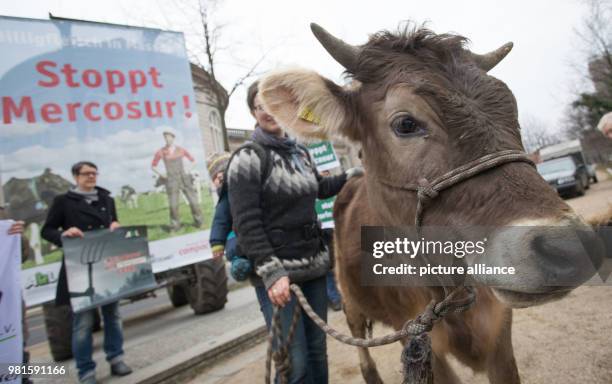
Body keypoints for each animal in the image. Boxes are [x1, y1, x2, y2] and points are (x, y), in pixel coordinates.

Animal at [260, 24, 604, 384]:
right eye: (405, 124)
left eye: (512, 110)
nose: (569, 247)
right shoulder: (420, 342)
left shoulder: (499, 333)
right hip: (347, 296)